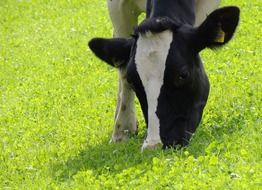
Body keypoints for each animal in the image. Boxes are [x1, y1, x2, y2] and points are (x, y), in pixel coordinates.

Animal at [88, 0, 239, 151]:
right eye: (132, 81)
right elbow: (123, 72)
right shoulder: (116, 6)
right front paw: (121, 132)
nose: (154, 145)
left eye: (183, 75)